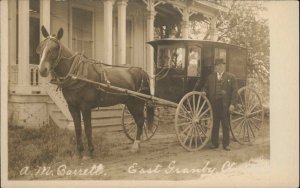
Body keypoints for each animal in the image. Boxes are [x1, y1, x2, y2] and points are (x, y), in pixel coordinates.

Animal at [37, 26, 155, 159]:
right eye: (41, 46)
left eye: (55, 48)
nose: (42, 70)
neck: (76, 73)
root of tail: (141, 71)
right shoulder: (72, 107)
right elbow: (78, 128)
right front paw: (79, 153)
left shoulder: (85, 107)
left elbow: (88, 128)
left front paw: (91, 151)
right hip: (130, 103)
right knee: (139, 121)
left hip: (137, 102)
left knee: (140, 121)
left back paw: (135, 146)